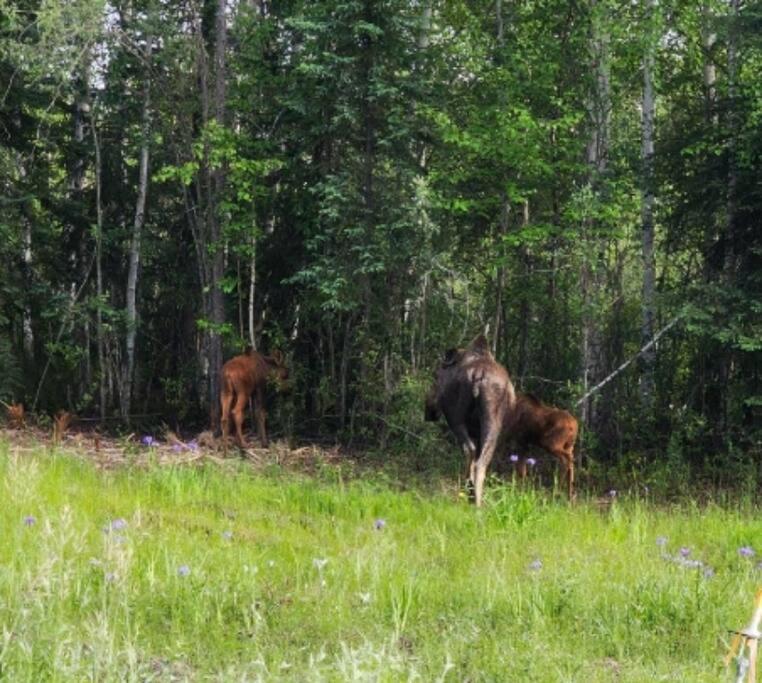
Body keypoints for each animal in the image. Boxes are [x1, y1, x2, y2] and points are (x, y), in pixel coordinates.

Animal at [424, 335, 516, 507]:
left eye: (435, 375)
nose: (428, 410)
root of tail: (478, 375)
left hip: (456, 418)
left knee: (471, 451)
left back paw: (471, 493)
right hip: (489, 422)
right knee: (480, 459)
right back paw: (475, 498)